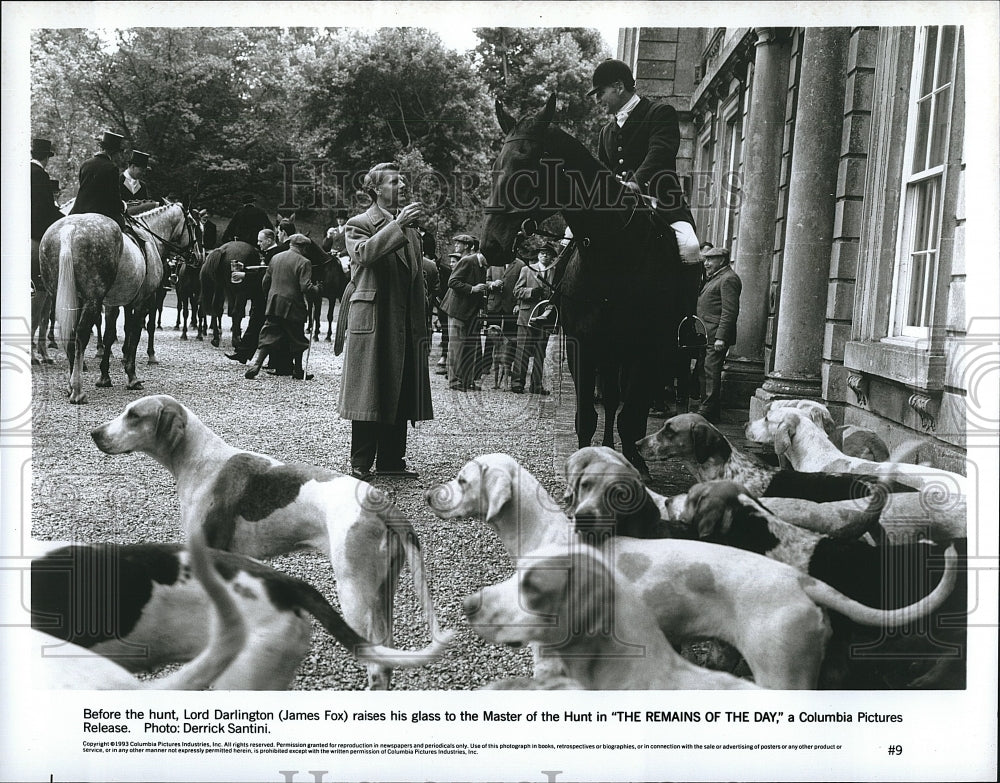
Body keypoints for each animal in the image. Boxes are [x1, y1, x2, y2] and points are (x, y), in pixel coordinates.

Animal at [480, 96, 700, 478]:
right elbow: (587, 415)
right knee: (609, 399)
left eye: (525, 165)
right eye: (495, 165)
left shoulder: (645, 349)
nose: (491, 246)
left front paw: (635, 462)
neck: (613, 254)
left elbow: (631, 414)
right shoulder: (582, 343)